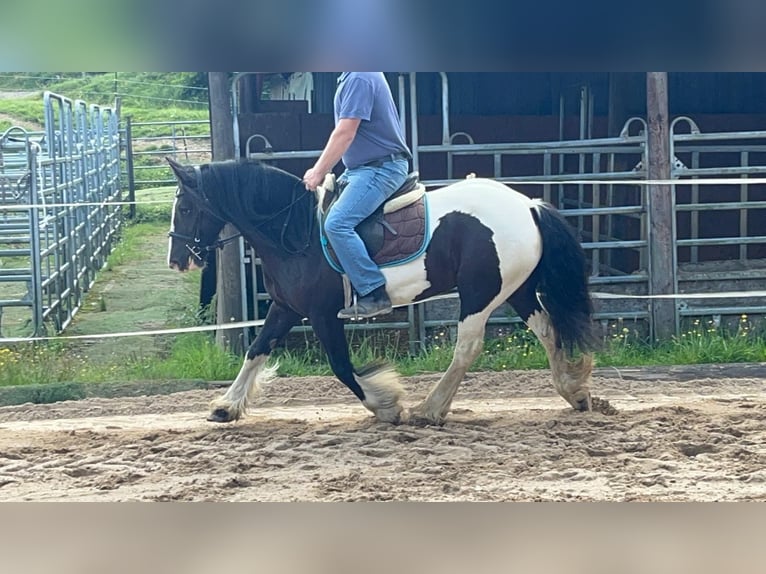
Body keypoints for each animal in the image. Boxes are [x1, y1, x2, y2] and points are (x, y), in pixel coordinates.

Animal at [166, 158, 600, 428]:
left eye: (185, 208)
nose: (176, 260)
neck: (296, 232)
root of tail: (529, 205)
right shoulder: (285, 308)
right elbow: (256, 350)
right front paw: (226, 407)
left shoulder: (323, 315)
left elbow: (342, 367)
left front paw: (386, 406)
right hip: (517, 290)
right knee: (548, 332)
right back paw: (574, 392)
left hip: (480, 294)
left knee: (468, 348)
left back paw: (430, 409)